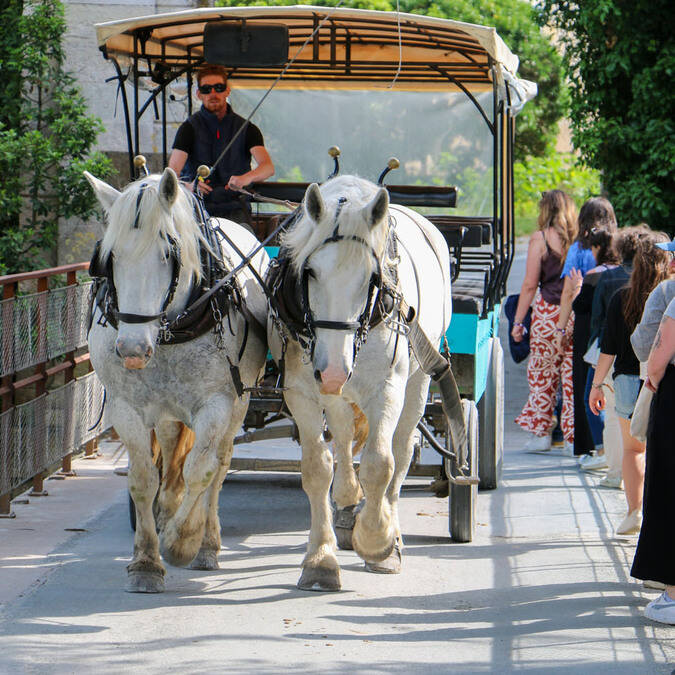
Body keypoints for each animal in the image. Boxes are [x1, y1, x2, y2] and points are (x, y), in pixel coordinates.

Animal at [82, 169, 266, 592]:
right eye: (109, 258)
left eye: (167, 254)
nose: (132, 348)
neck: (170, 329)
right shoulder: (126, 407)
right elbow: (143, 478)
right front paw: (146, 561)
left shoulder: (217, 404)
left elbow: (202, 470)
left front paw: (180, 542)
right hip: (166, 407)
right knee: (169, 448)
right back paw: (167, 510)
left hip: (240, 402)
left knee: (219, 464)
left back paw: (206, 544)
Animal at [266, 176, 452, 592]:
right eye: (310, 272)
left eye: (373, 278)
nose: (334, 370)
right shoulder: (302, 391)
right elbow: (317, 468)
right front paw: (320, 559)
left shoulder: (387, 388)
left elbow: (380, 464)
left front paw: (378, 542)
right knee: (344, 436)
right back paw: (349, 499)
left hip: (417, 382)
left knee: (401, 451)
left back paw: (390, 530)